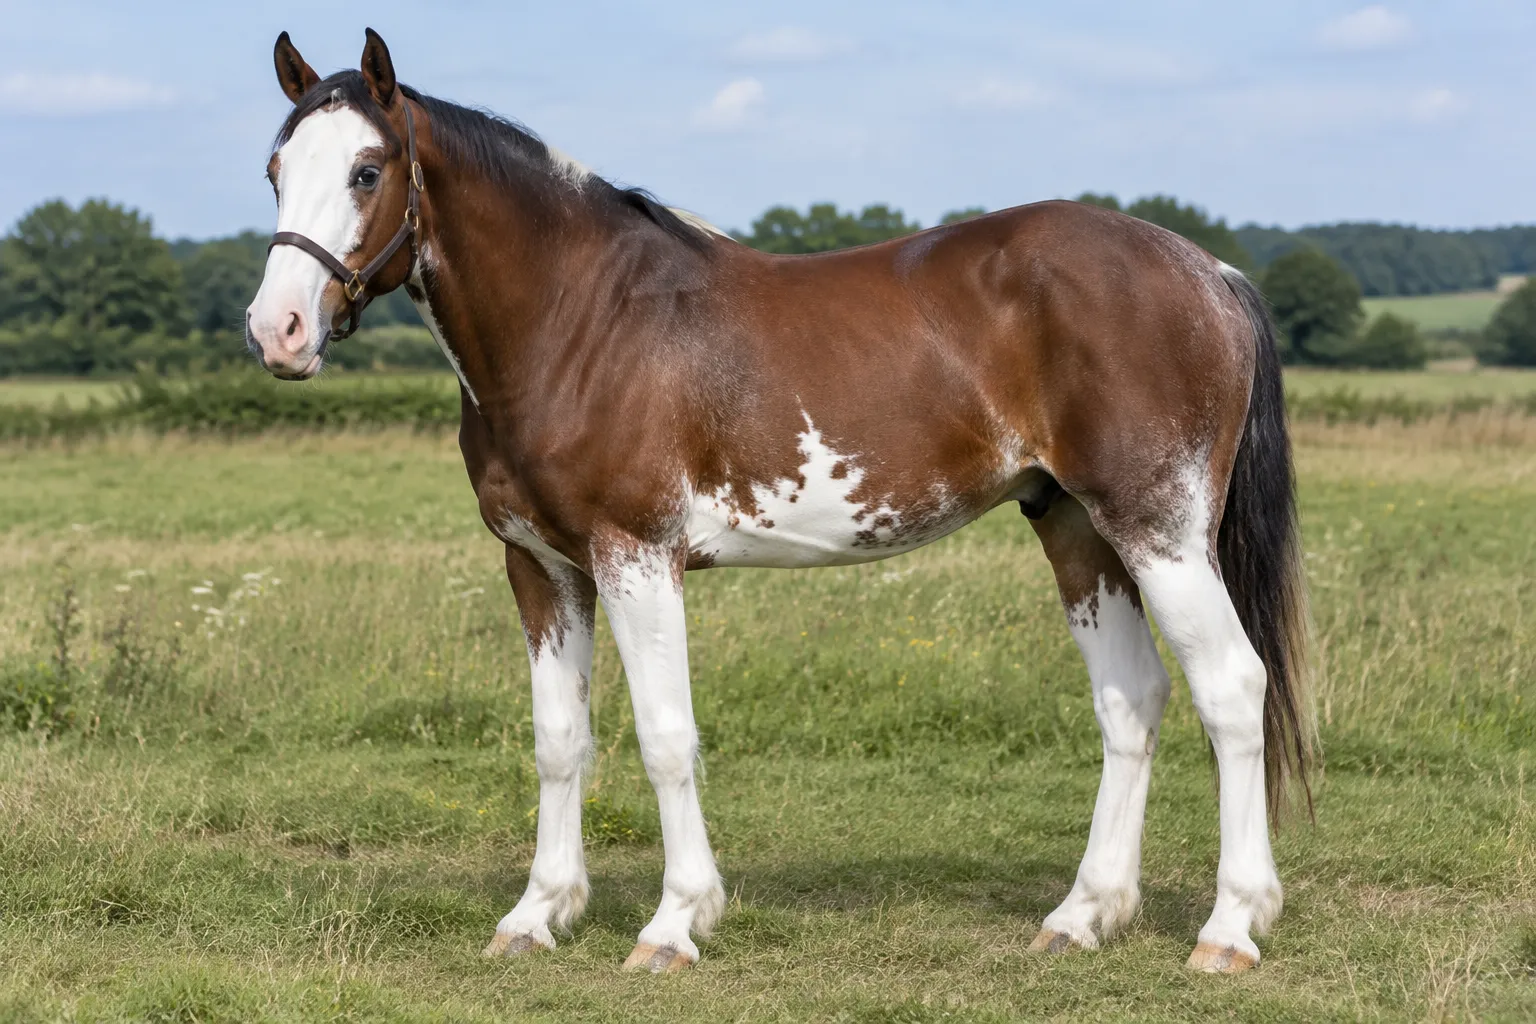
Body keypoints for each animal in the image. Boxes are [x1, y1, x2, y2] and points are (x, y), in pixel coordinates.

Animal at [246, 29, 1312, 975]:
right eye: (275, 168)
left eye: (368, 171)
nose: (278, 330)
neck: (580, 320)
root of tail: (1211, 272)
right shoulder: (540, 565)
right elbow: (559, 740)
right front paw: (536, 915)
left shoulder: (636, 555)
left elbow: (665, 737)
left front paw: (674, 924)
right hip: (1079, 528)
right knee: (1131, 700)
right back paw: (1083, 916)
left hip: (1159, 530)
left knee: (1233, 689)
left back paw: (1229, 929)